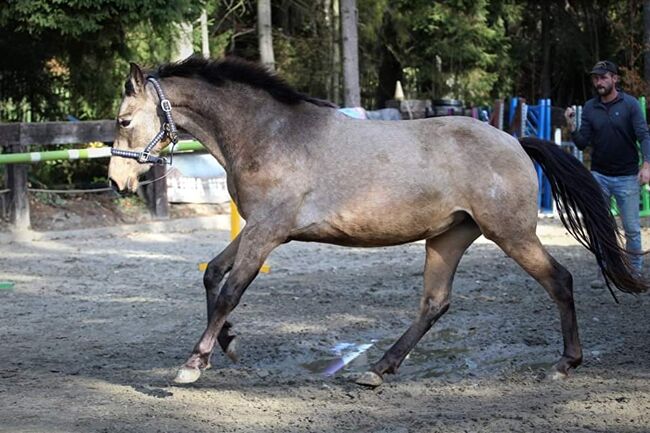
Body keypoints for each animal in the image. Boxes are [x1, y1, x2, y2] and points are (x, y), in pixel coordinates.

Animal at [106, 55, 644, 386]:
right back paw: (379, 369)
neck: (271, 133)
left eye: (124, 120)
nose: (116, 181)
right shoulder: (260, 229)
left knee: (560, 280)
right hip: (449, 237)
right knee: (434, 304)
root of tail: (514, 141)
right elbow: (214, 276)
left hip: (510, 234)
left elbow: (230, 290)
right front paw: (229, 343)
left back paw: (565, 363)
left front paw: (193, 364)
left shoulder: (267, 232)